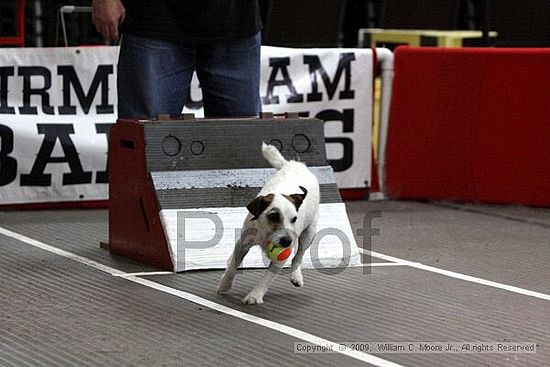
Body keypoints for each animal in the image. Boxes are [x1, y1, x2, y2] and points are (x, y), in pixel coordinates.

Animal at [218, 142, 322, 306]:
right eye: (273, 216)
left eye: (294, 219)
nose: (287, 241)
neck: (265, 234)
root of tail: (295, 165)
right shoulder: (243, 242)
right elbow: (233, 265)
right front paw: (224, 284)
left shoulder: (282, 256)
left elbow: (267, 277)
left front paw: (254, 295)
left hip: (309, 233)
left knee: (299, 256)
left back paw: (296, 276)